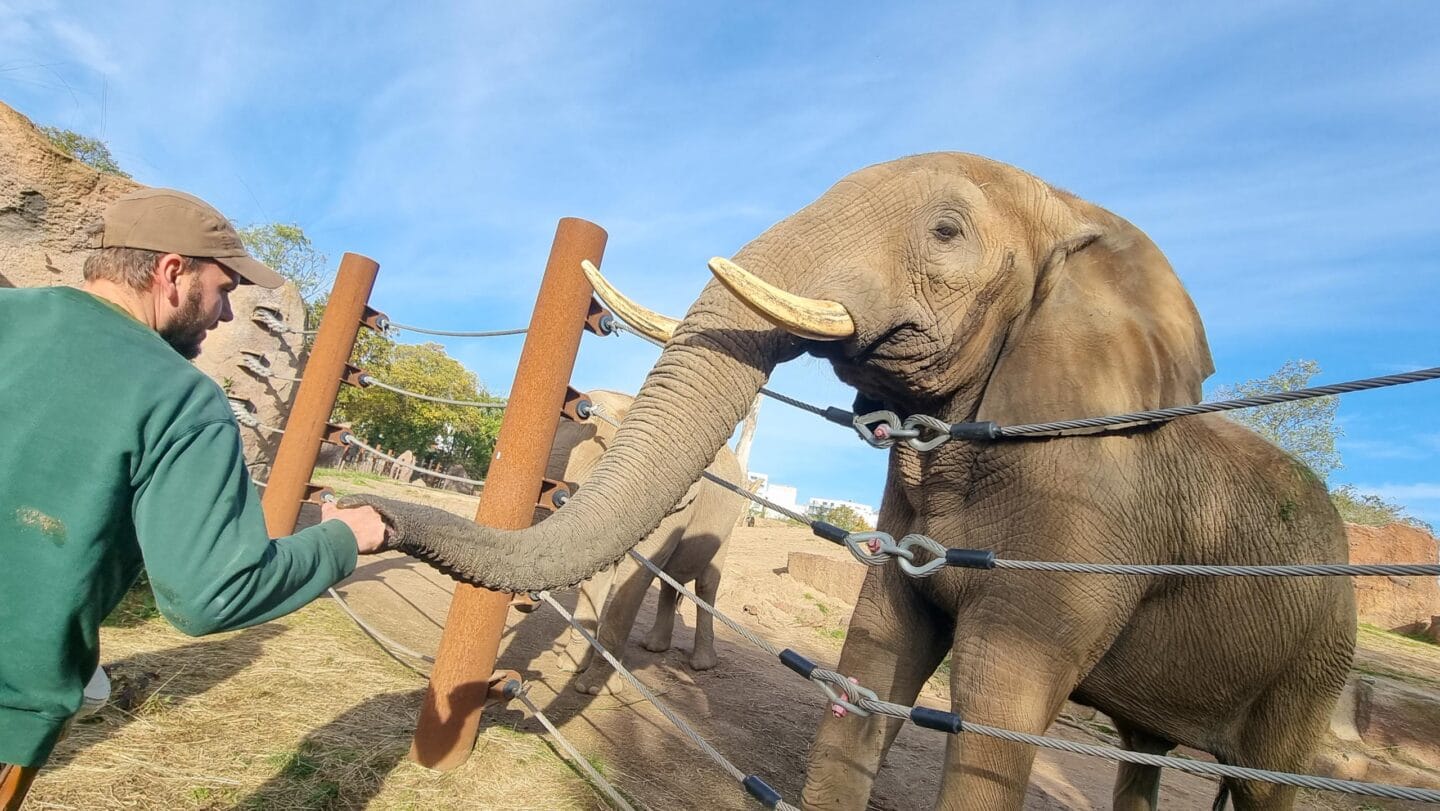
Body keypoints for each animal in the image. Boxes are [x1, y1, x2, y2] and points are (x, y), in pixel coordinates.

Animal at [544, 388, 748, 694]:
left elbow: (638, 571)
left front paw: (595, 689)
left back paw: (702, 664)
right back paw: (653, 647)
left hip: (728, 523)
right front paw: (570, 666)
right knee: (669, 579)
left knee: (706, 583)